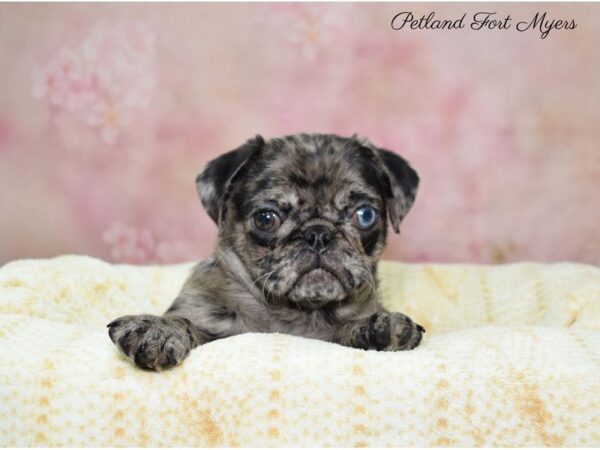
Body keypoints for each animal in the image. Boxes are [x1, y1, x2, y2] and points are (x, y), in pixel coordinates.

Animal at [109, 133, 426, 370]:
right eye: (266, 218)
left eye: (365, 215)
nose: (318, 234)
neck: (297, 312)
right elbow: (184, 321)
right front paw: (158, 329)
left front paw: (379, 327)